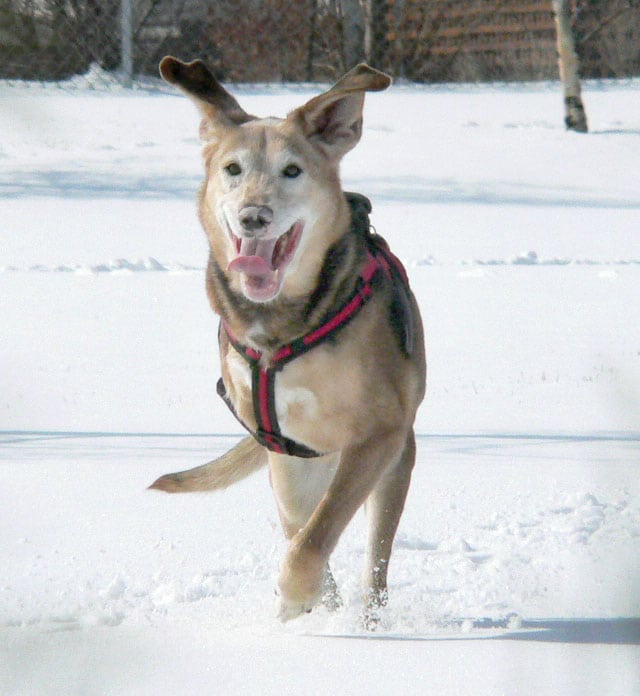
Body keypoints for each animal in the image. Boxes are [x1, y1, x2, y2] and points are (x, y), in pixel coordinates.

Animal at [150, 59, 424, 624]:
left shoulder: (378, 437)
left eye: (292, 171)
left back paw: (368, 620)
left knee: (375, 560)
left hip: (394, 465)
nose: (254, 216)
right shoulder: (283, 447)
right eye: (232, 169)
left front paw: (296, 596)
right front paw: (306, 607)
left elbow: (315, 540)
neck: (281, 329)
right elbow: (304, 532)